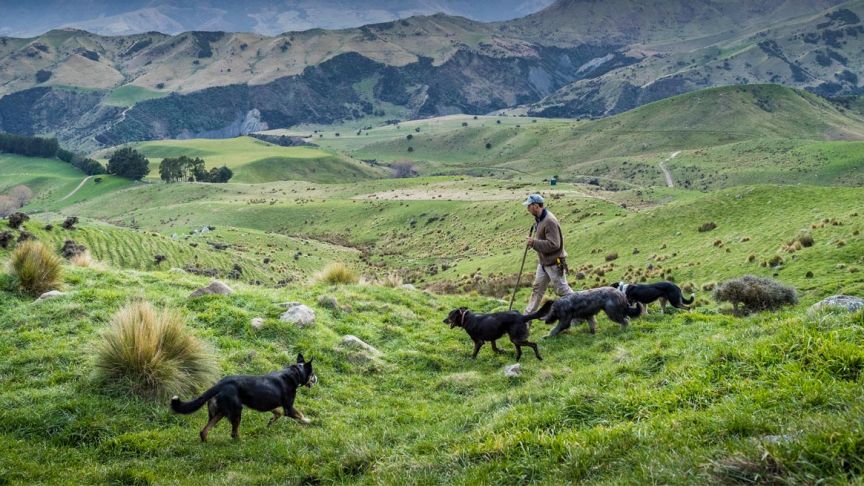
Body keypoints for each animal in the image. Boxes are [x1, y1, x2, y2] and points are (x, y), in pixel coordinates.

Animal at [170, 352, 316, 442]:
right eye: (312, 373)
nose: (316, 379)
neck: (295, 373)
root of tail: (220, 384)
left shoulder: (269, 404)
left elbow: (277, 413)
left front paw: (270, 422)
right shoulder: (289, 408)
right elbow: (300, 415)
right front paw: (309, 421)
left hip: (219, 412)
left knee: (204, 431)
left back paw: (206, 443)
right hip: (236, 411)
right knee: (234, 434)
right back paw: (242, 442)